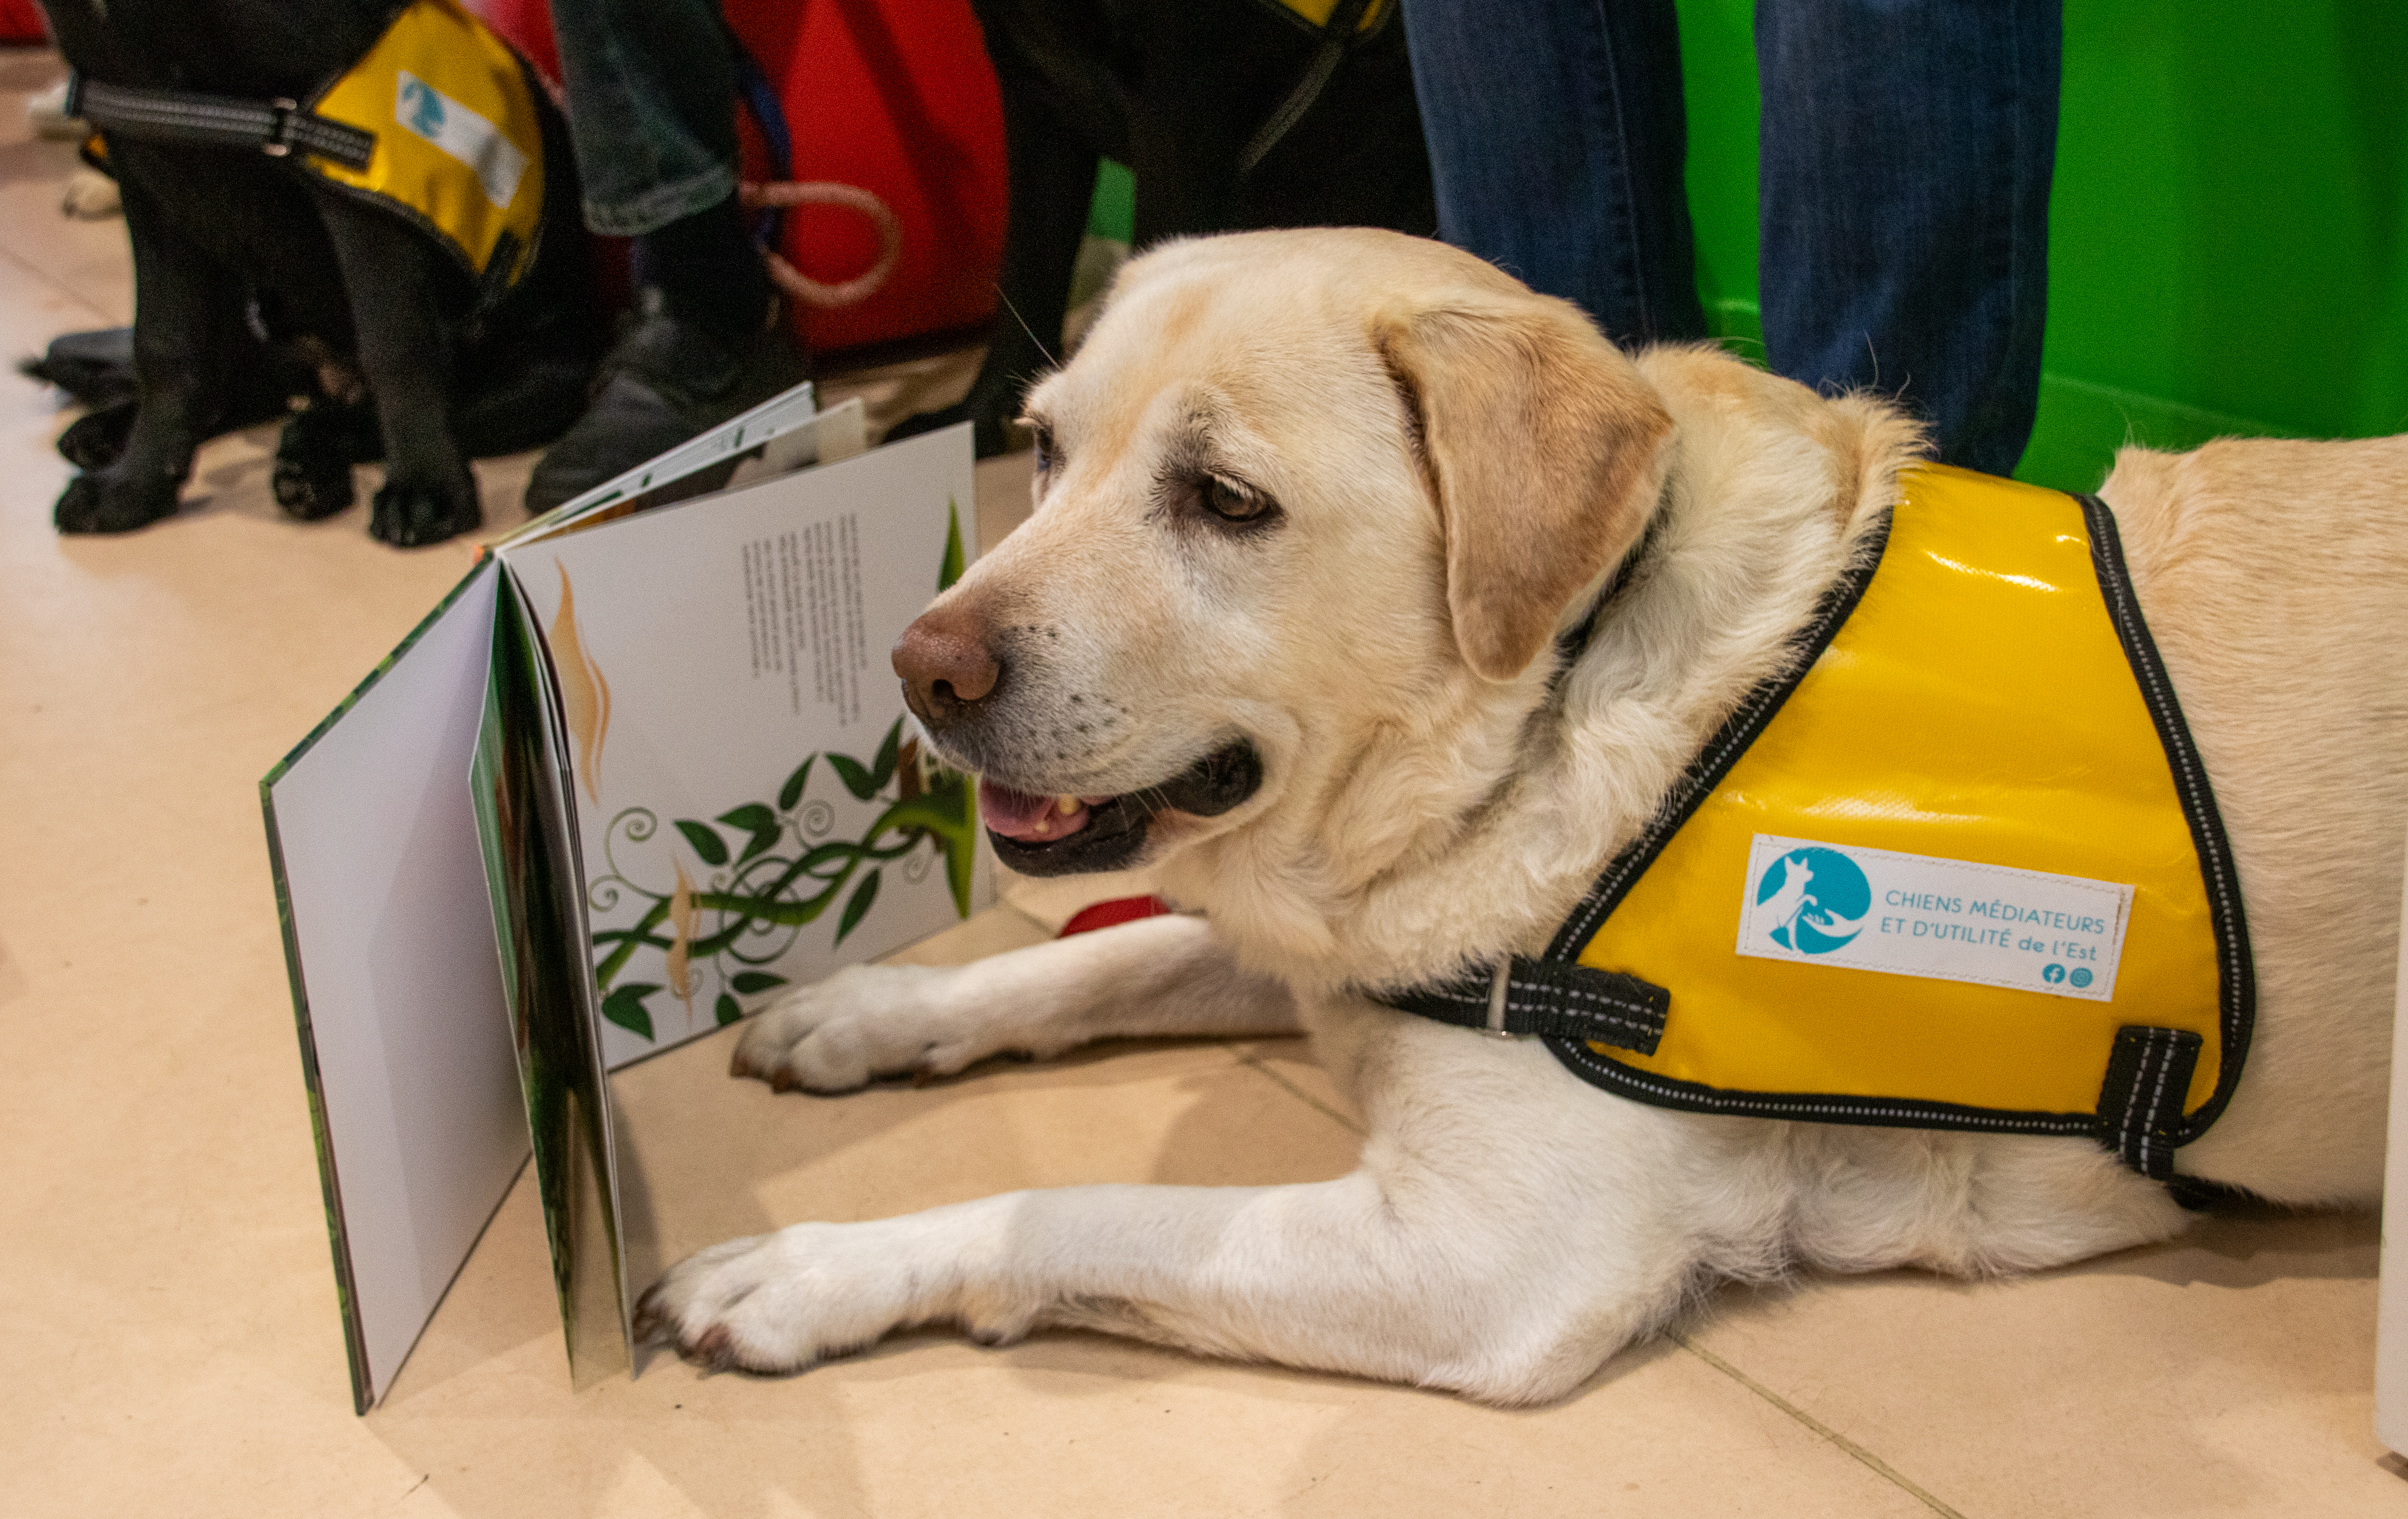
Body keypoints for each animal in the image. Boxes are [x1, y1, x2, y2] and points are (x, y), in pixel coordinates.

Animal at [37, 0, 597, 546]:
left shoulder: (356, 167)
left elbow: (396, 347)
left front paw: (427, 487)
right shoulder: (147, 175)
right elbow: (165, 348)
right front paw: (134, 488)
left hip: (546, 379)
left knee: (331, 419)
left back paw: (310, 466)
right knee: (243, 388)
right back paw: (113, 431)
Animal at [636, 226, 2408, 1406]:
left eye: (1225, 499)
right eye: (1044, 449)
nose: (918, 668)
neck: (1538, 724)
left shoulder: (1488, 1262)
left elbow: (1074, 1207)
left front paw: (804, 1268)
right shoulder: (1349, 952)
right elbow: (1091, 958)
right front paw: (865, 1009)